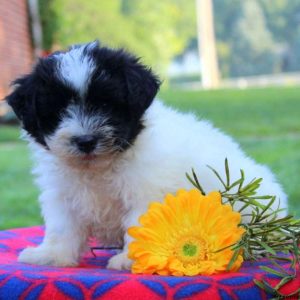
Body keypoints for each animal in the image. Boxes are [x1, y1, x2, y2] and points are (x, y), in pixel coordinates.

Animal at [6, 41, 286, 268]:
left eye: (106, 105)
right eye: (59, 111)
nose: (85, 141)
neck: (99, 168)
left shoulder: (146, 191)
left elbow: (138, 224)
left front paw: (130, 260)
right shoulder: (63, 193)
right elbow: (62, 227)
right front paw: (51, 255)